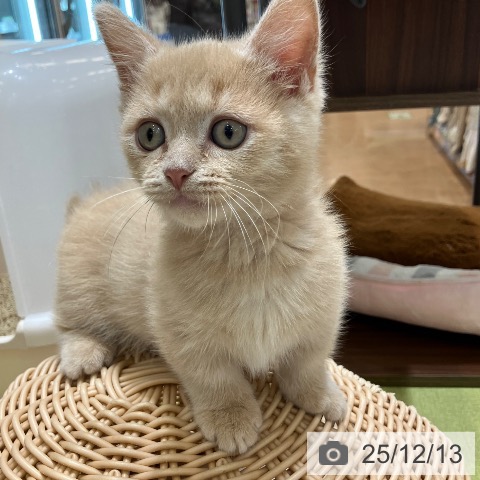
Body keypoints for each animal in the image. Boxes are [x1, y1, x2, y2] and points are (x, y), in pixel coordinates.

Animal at [55, 0, 349, 454]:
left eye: (228, 131)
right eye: (150, 134)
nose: (176, 172)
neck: (245, 250)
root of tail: (81, 206)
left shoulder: (322, 315)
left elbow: (307, 361)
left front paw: (321, 395)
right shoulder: (178, 333)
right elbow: (213, 376)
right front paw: (231, 417)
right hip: (78, 283)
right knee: (68, 322)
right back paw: (81, 353)